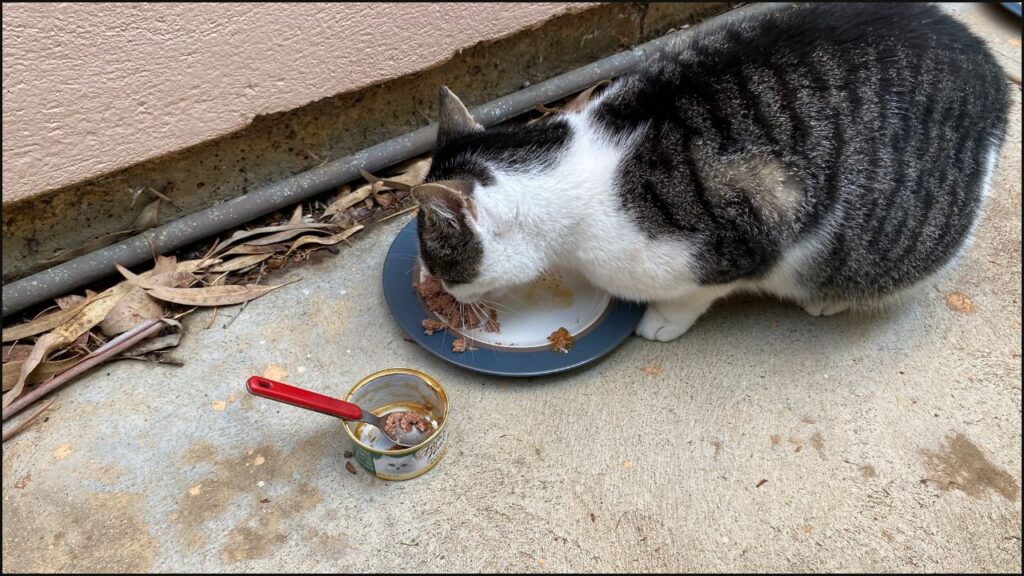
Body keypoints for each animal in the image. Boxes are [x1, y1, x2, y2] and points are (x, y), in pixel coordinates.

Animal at [411, 1, 1011, 340]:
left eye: (441, 266)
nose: (435, 289)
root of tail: (987, 65)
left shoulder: (747, 232)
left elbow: (692, 295)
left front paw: (660, 322)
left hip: (893, 238)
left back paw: (830, 299)